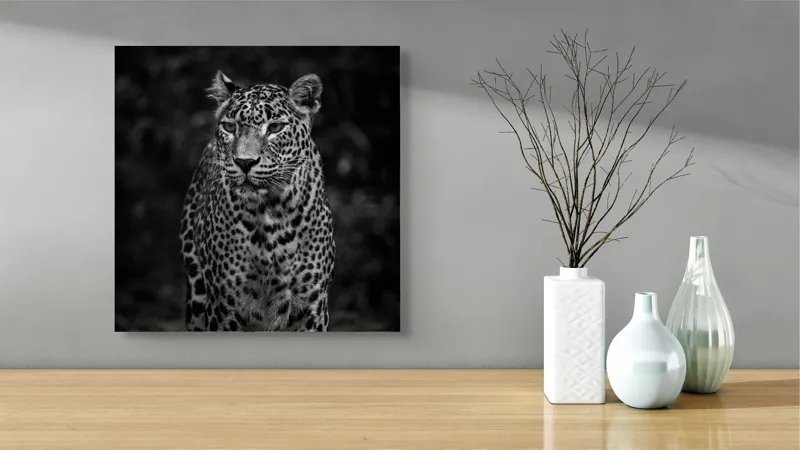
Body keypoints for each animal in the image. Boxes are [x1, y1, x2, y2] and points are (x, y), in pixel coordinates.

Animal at [180, 70, 335, 332]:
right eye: (229, 127)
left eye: (275, 127)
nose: (244, 162)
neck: (271, 209)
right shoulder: (225, 308)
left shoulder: (312, 307)